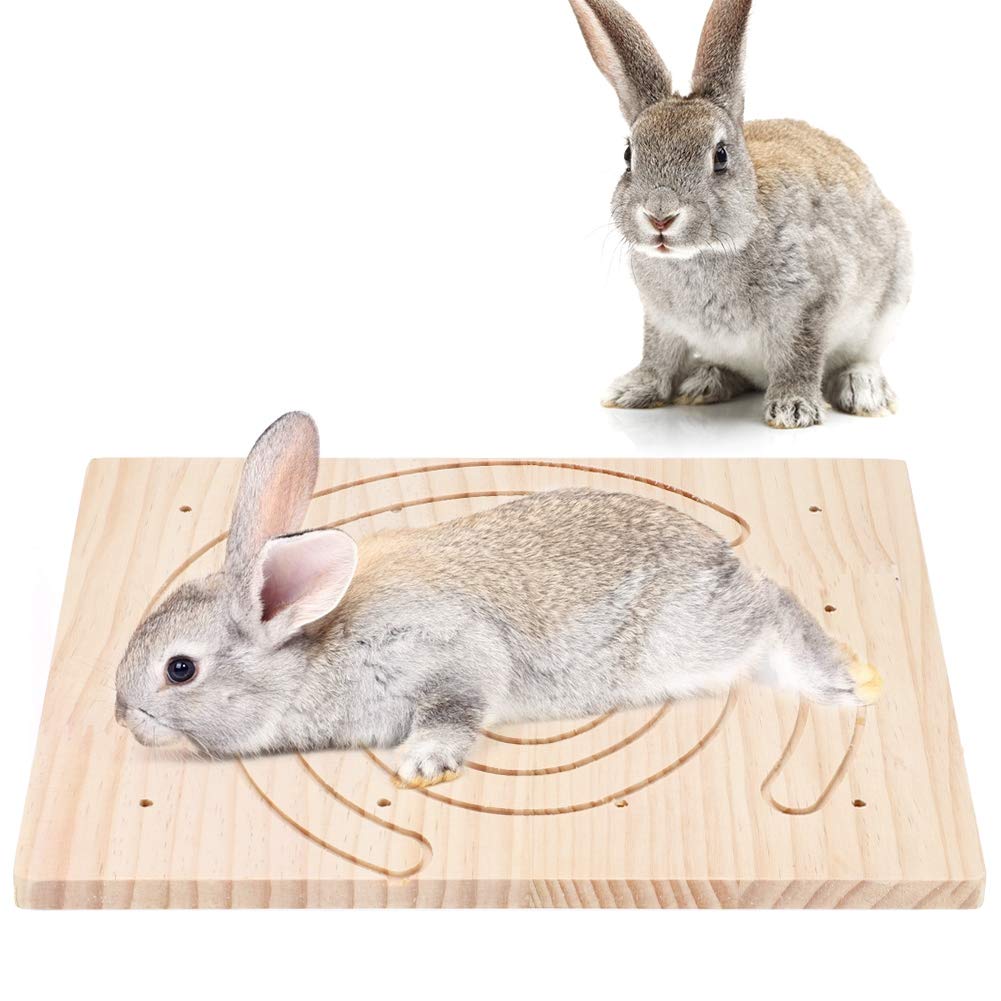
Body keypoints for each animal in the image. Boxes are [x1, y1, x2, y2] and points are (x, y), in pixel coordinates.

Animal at [116, 412, 882, 787]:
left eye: (179, 669)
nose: (124, 718)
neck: (309, 648)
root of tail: (718, 557)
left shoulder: (446, 653)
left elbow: (455, 709)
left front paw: (424, 763)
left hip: (696, 635)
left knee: (775, 606)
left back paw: (844, 681)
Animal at [568, 0, 911, 429]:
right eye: (629, 155)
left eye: (720, 156)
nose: (660, 216)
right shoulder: (661, 321)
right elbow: (658, 355)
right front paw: (631, 390)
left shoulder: (811, 304)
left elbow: (801, 357)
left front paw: (793, 408)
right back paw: (707, 381)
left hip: (891, 299)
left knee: (864, 357)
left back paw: (863, 390)